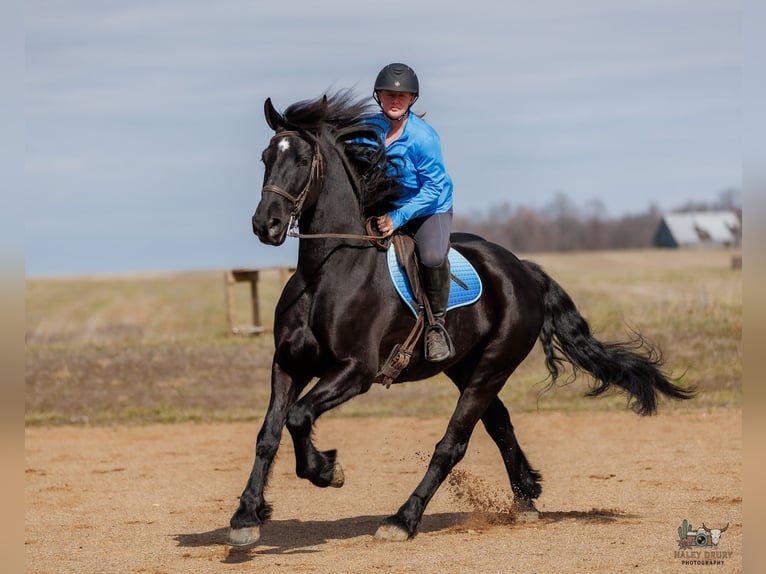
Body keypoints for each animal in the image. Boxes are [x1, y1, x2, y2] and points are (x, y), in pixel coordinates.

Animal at [228, 91, 694, 546]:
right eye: (266, 157)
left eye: (302, 160)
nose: (265, 225)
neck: (326, 271)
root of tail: (523, 269)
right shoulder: (289, 363)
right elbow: (269, 432)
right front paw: (247, 515)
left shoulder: (354, 371)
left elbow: (298, 417)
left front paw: (327, 470)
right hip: (464, 366)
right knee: (500, 423)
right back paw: (525, 497)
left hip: (493, 366)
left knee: (453, 443)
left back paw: (403, 519)